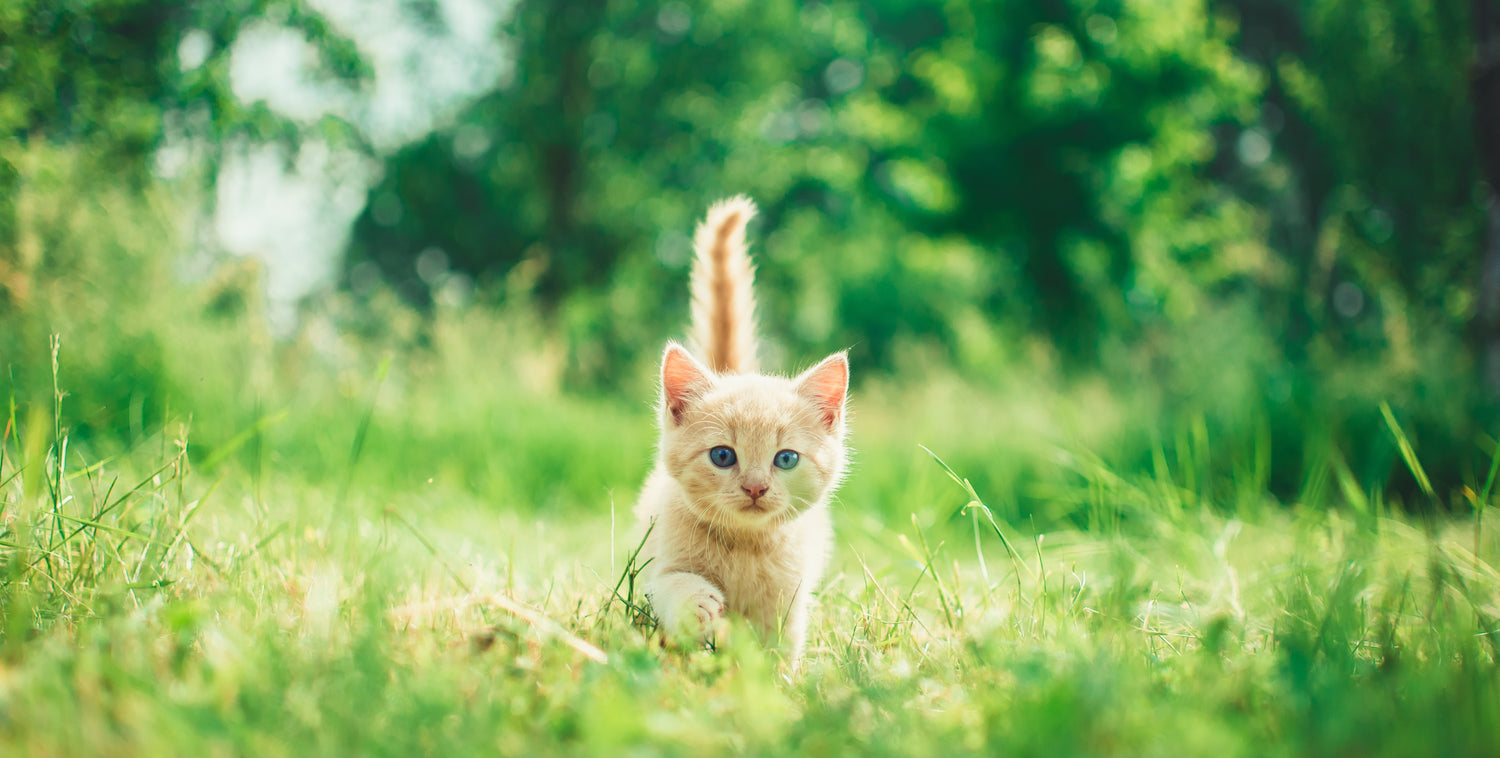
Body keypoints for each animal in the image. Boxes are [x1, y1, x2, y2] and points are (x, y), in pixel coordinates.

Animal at [633, 196, 846, 660]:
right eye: (722, 455)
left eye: (786, 459)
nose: (755, 488)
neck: (744, 548)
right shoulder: (657, 565)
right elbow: (669, 585)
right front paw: (696, 605)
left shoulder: (790, 600)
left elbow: (780, 647)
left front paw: (775, 677)